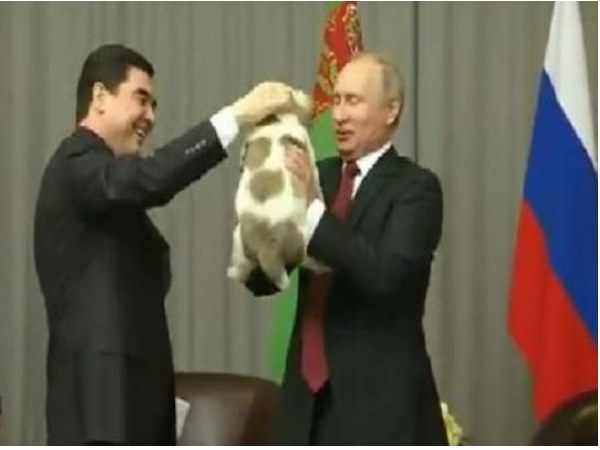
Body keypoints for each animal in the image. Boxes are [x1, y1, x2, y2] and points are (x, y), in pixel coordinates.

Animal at [227, 90, 324, 292]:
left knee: (241, 268)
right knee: (304, 259)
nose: (309, 97)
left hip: (238, 236)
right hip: (301, 239)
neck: (276, 119)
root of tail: (268, 249)